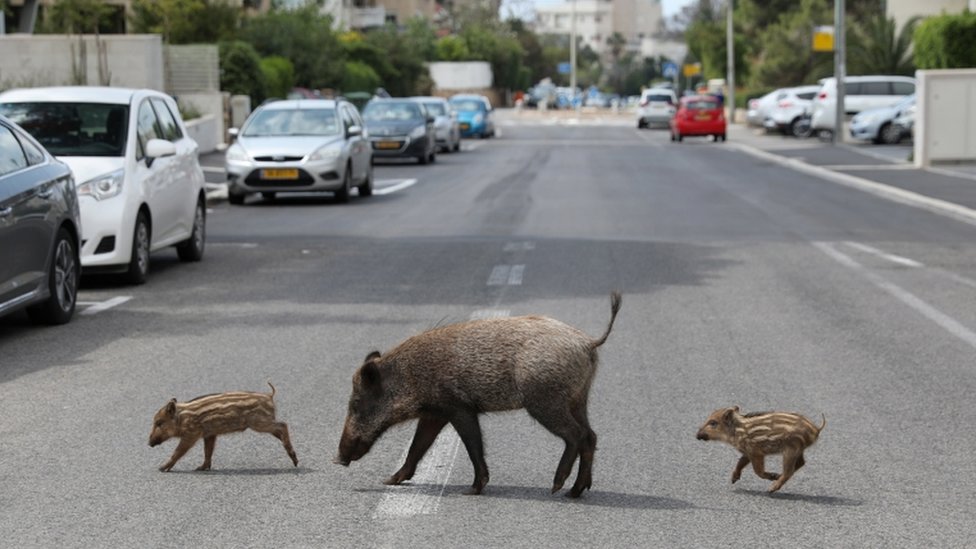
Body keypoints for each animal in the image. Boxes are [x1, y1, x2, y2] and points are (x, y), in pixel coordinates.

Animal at [149, 382, 298, 472]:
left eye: (159, 423)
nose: (149, 443)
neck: (182, 418)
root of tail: (269, 396)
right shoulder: (209, 434)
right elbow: (208, 451)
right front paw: (201, 468)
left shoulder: (191, 434)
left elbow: (178, 451)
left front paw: (162, 468)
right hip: (264, 422)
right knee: (279, 430)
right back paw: (294, 459)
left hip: (259, 423)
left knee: (283, 425)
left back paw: (294, 459)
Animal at [335, 291, 623, 498]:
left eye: (357, 403)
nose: (337, 458)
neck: (410, 375)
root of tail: (588, 342)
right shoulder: (435, 413)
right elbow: (418, 446)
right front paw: (389, 480)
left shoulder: (458, 407)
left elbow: (472, 444)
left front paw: (471, 490)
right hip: (577, 399)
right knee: (591, 436)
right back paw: (575, 491)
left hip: (545, 400)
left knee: (577, 435)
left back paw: (556, 487)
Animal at [696, 406, 826, 493]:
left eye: (713, 423)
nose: (697, 435)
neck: (736, 431)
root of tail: (816, 429)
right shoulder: (747, 452)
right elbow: (740, 463)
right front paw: (733, 479)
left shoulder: (755, 452)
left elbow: (757, 471)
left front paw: (772, 476)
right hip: (797, 450)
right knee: (800, 463)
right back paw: (777, 478)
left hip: (790, 449)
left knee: (789, 471)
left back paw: (772, 488)